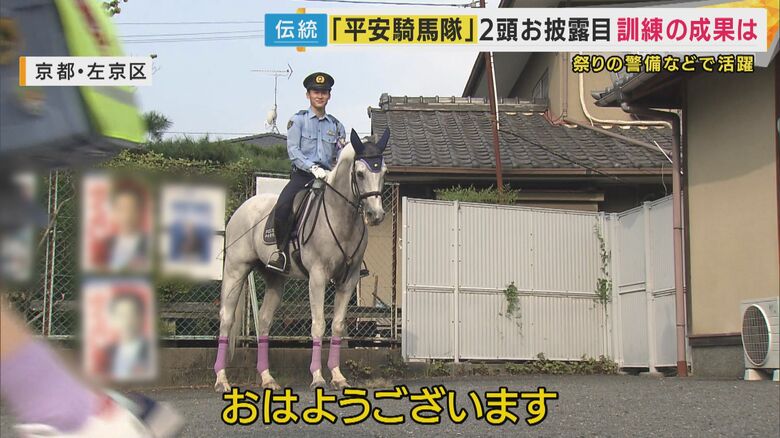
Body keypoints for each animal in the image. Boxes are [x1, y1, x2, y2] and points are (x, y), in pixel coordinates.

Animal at [213, 128, 390, 392]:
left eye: (384, 171)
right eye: (359, 173)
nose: (375, 215)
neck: (340, 217)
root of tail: (242, 208)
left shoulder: (348, 280)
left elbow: (338, 325)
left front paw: (337, 376)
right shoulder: (317, 277)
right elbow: (318, 325)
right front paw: (317, 377)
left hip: (275, 278)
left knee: (264, 321)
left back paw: (268, 378)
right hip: (236, 270)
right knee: (226, 318)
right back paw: (221, 379)